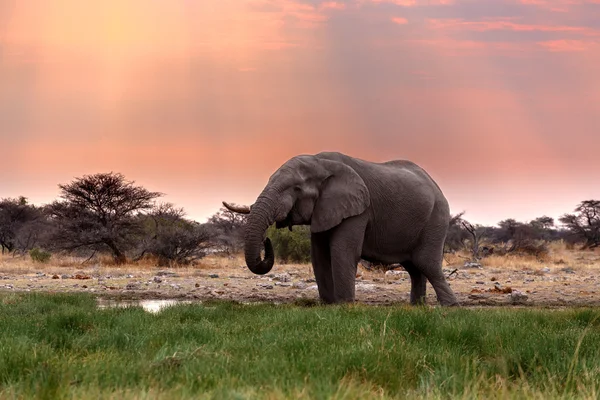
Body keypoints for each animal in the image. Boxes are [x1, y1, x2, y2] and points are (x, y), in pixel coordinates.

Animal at [225, 152, 460, 304]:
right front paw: (328, 304)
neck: (320, 162)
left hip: (436, 218)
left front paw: (345, 305)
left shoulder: (358, 211)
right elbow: (319, 255)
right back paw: (416, 307)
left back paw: (450, 306)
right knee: (413, 267)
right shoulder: (324, 209)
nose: (267, 239)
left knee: (426, 263)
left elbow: (343, 251)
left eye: (296, 188)